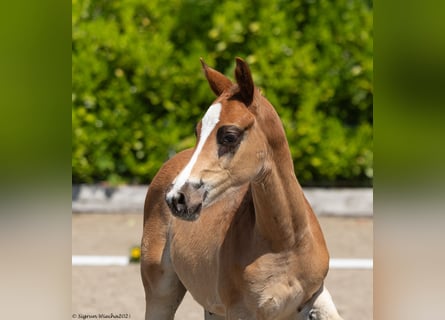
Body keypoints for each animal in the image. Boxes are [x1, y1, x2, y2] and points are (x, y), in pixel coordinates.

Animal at [140, 58, 342, 320]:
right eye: (197, 131)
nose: (178, 197)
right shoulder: (241, 311)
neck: (285, 243)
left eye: (229, 136)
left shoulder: (313, 297)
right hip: (160, 290)